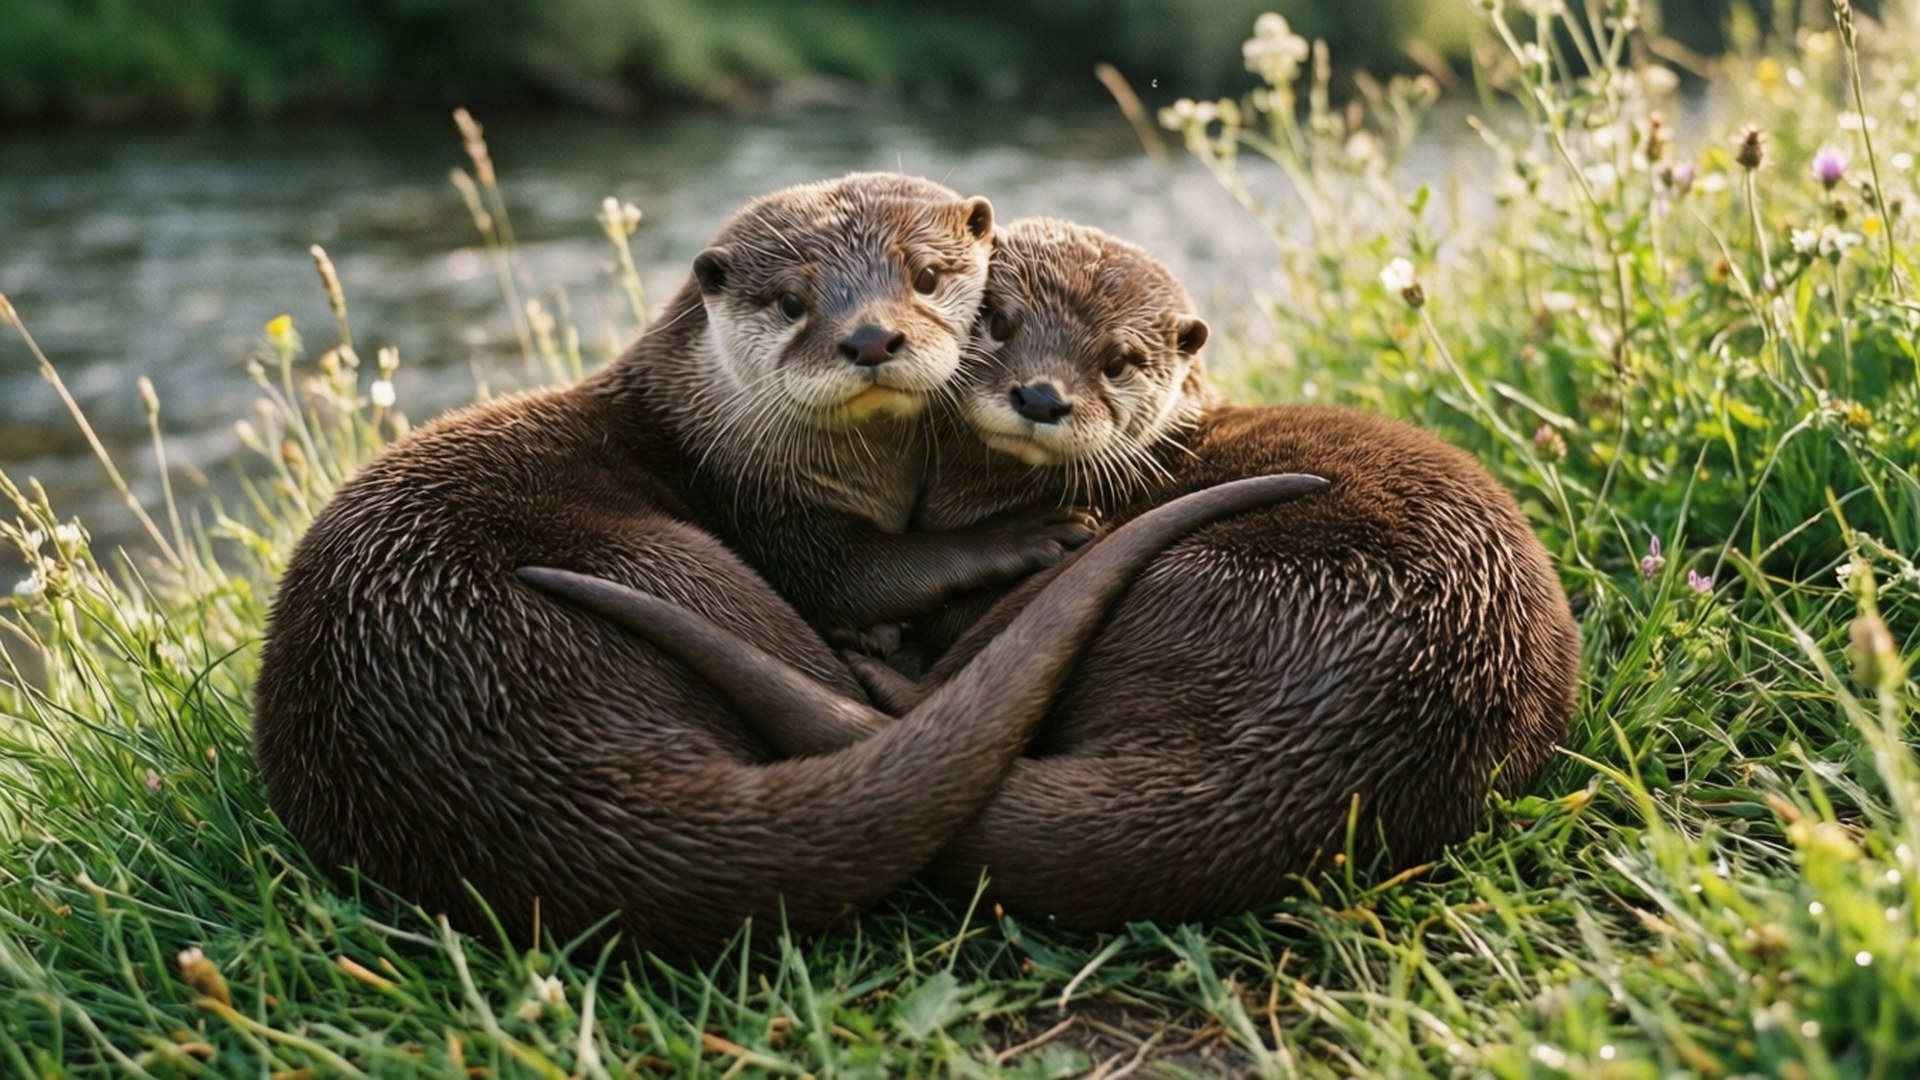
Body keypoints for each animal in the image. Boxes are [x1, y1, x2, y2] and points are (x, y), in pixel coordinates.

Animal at [254, 175, 1324, 957]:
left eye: (927, 275)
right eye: (792, 301)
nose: (871, 336)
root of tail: (500, 769)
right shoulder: (767, 518)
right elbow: (860, 576)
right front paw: (1035, 534)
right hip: (680, 562)